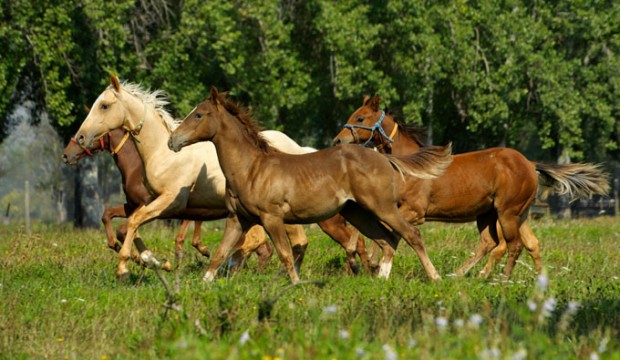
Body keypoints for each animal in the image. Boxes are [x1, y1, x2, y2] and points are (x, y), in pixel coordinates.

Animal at [63, 126, 276, 270]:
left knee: (260, 246)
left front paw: (145, 259)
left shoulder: (153, 205)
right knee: (262, 248)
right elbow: (108, 216)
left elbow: (125, 229)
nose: (66, 155)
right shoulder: (132, 205)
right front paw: (121, 248)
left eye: (91, 133)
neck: (138, 167)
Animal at [167, 86, 452, 282]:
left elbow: (285, 254)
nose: (172, 141)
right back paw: (381, 278)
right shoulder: (238, 219)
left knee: (410, 235)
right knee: (387, 239)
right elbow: (220, 254)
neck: (251, 168)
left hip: (382, 207)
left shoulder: (271, 218)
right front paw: (203, 285)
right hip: (358, 212)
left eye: (199, 115)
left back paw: (434, 277)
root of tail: (385, 158)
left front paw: (295, 285)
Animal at [334, 94, 612, 278]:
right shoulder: (388, 206)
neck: (410, 166)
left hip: (506, 212)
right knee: (511, 243)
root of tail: (529, 163)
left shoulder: (414, 211)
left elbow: (388, 231)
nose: (337, 140)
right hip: (501, 214)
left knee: (512, 246)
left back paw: (499, 280)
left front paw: (374, 263)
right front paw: (361, 260)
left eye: (360, 117)